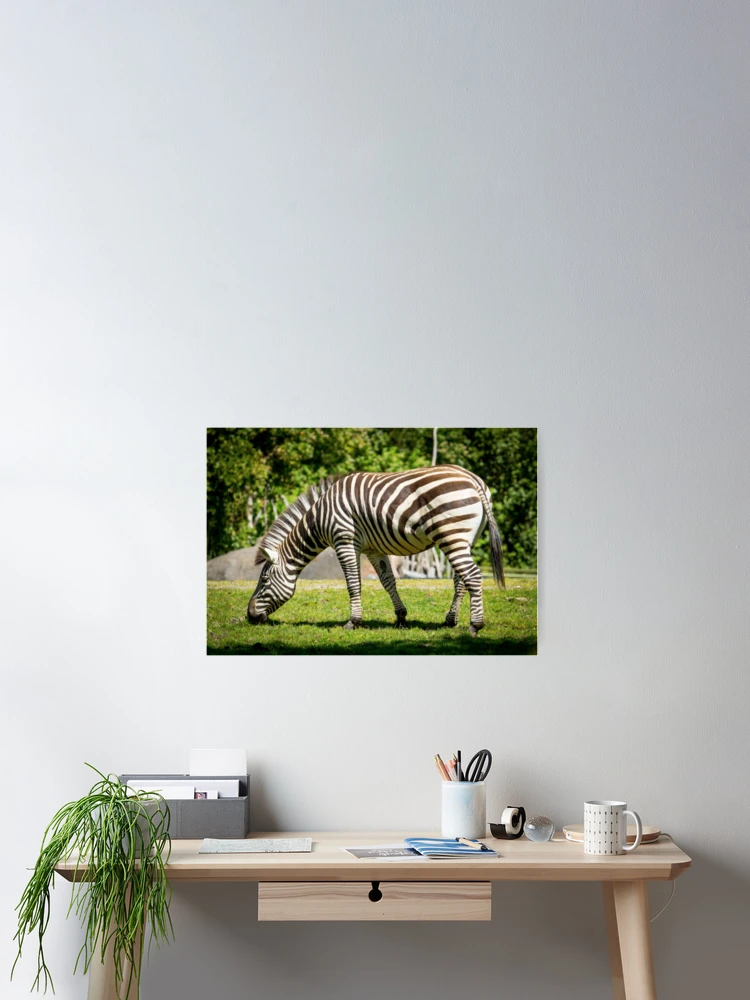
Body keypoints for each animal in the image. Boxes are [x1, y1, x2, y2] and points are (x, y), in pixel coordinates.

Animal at [247, 464, 505, 636]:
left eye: (264, 580)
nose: (249, 616)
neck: (319, 520)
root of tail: (473, 478)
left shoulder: (345, 540)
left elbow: (353, 583)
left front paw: (353, 622)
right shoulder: (373, 549)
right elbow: (387, 581)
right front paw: (401, 617)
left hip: (452, 534)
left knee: (473, 576)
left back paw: (475, 625)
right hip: (463, 539)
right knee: (461, 580)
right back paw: (450, 621)